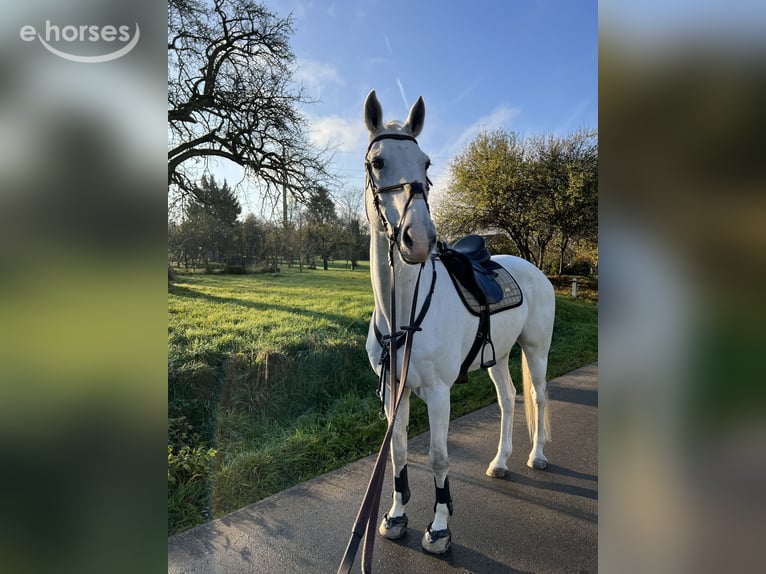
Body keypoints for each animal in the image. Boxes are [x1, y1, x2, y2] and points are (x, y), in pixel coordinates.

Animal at [362, 90, 556, 554]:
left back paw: (537, 456)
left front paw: (439, 528)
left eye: (427, 163)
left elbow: (438, 457)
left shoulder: (438, 393)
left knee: (538, 397)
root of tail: (534, 269)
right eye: (378, 161)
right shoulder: (394, 392)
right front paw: (396, 516)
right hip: (499, 358)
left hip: (536, 350)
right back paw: (500, 462)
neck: (403, 314)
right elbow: (398, 452)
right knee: (508, 400)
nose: (419, 239)